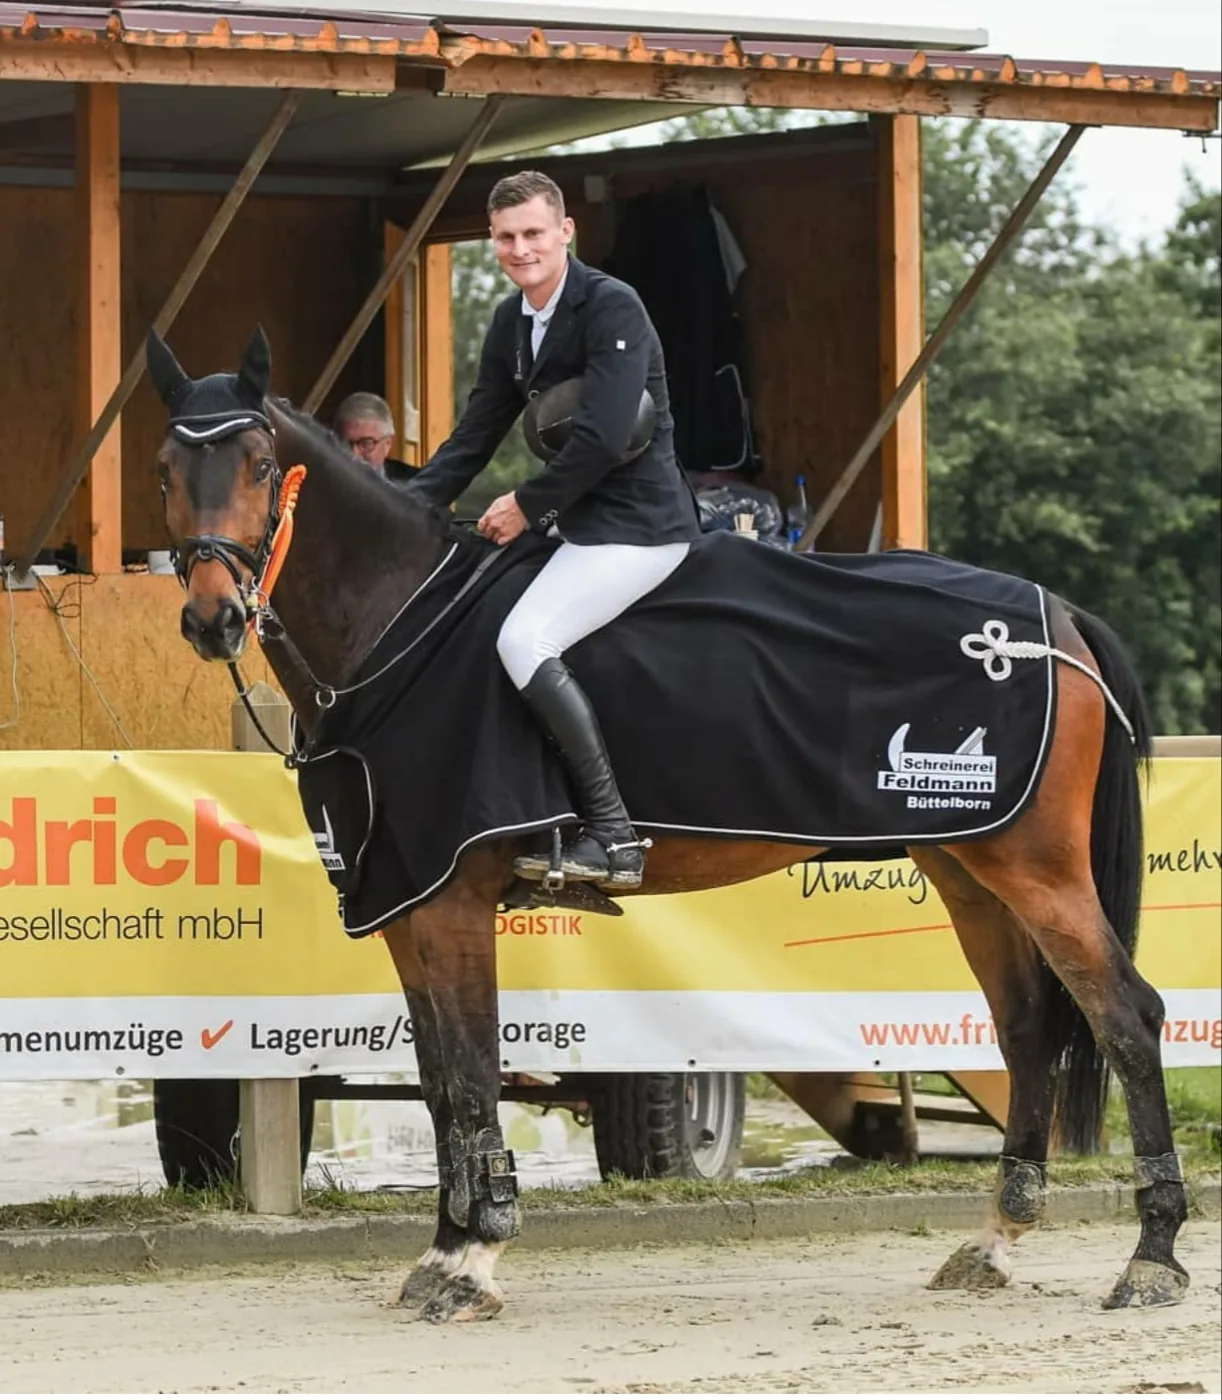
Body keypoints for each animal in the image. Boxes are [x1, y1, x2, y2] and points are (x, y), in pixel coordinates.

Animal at [149, 327, 1188, 1323]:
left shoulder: (452, 899)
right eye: (165, 469)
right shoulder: (410, 902)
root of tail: (1051, 616)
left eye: (255, 464)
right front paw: (445, 1252)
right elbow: (446, 1084)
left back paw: (1151, 1258)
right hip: (971, 870)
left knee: (1126, 1016)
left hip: (1038, 868)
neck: (405, 628)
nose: (211, 618)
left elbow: (472, 1074)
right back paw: (996, 1244)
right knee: (1026, 1029)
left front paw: (476, 1259)